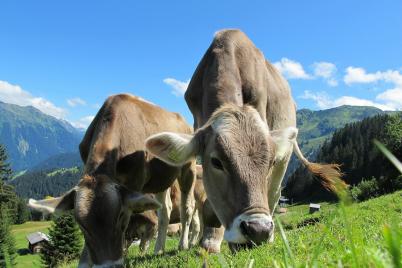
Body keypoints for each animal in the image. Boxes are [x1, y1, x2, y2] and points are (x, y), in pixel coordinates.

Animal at [27, 94, 197, 266]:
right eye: (81, 225)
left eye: (120, 217)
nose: (109, 265)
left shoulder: (135, 183)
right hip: (161, 179)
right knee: (165, 210)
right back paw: (158, 249)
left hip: (188, 168)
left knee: (187, 207)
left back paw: (183, 244)